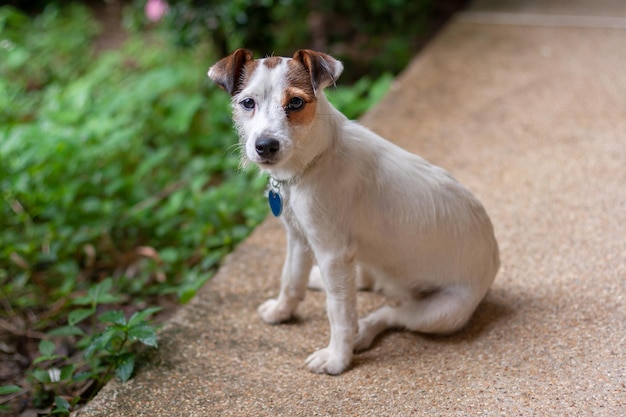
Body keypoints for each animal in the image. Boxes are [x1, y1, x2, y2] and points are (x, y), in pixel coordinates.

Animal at [207, 48, 500, 374]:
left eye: (295, 102)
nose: (265, 146)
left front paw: (337, 358)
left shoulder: (332, 252)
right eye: (248, 103)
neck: (312, 163)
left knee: (387, 313)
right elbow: (290, 279)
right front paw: (282, 311)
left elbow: (340, 313)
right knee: (367, 283)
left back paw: (362, 333)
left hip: (443, 313)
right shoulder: (298, 236)